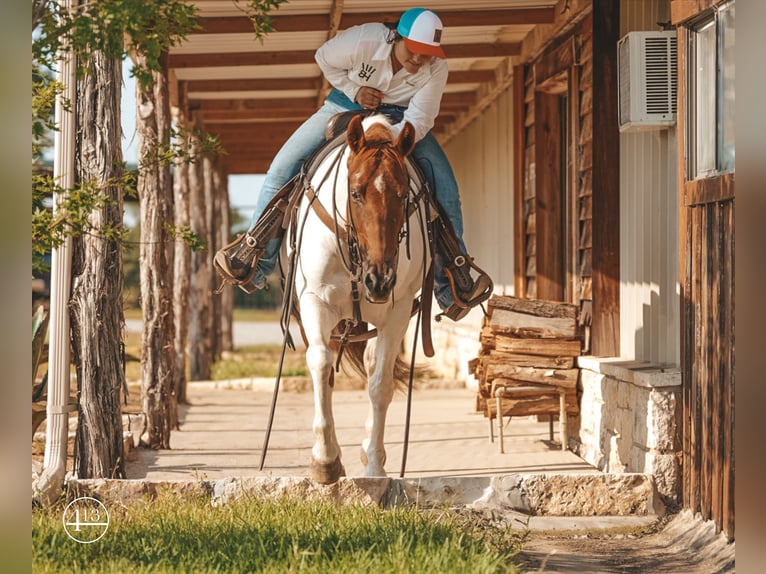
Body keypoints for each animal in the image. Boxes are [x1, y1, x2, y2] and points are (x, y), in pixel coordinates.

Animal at [288, 115, 432, 484]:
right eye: (355, 192)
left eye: (402, 195)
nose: (379, 280)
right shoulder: (313, 300)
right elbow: (321, 364)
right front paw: (325, 460)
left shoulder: (397, 313)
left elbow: (380, 384)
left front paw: (375, 467)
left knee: (371, 367)